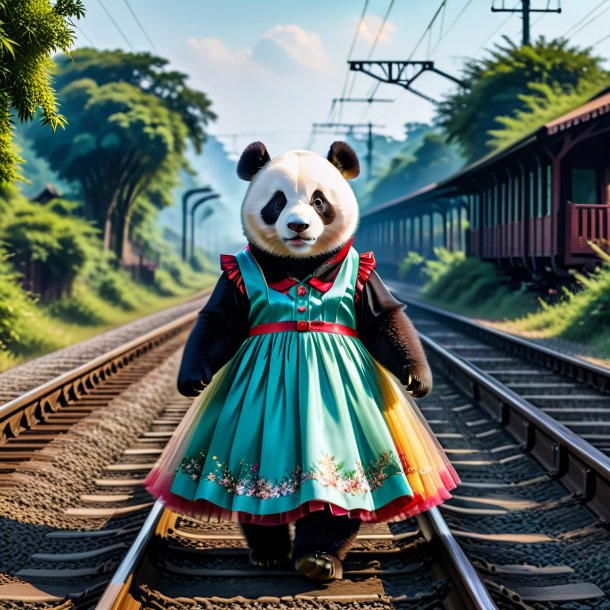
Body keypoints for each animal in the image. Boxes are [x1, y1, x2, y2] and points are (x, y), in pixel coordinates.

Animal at [176, 141, 432, 580]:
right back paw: (268, 550)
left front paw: (417, 379)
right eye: (277, 202)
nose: (298, 226)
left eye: (319, 201)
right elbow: (218, 320)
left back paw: (318, 558)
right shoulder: (235, 274)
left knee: (342, 508)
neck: (300, 266)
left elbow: (384, 318)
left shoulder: (363, 270)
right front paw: (192, 379)